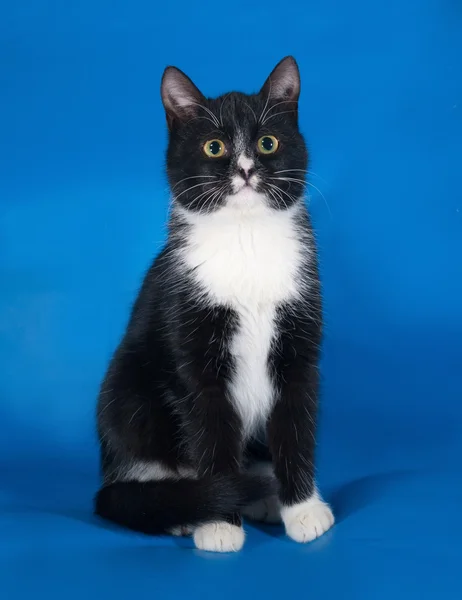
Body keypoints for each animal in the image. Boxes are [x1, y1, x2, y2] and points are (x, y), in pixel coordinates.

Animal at [96, 56, 336, 552]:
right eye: (214, 147)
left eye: (267, 142)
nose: (245, 170)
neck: (246, 240)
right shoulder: (192, 344)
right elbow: (211, 429)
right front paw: (220, 524)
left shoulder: (301, 339)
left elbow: (295, 426)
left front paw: (303, 509)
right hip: (126, 391)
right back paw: (180, 508)